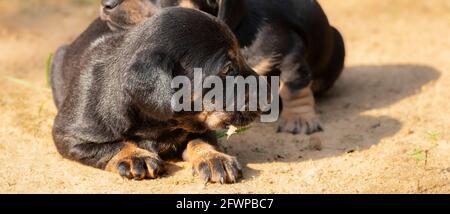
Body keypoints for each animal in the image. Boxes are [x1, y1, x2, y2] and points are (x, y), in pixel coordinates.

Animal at [49, 7, 262, 183]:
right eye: (227, 68)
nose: (268, 93)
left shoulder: (201, 124)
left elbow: (201, 140)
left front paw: (214, 158)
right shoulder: (69, 135)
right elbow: (112, 146)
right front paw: (135, 156)